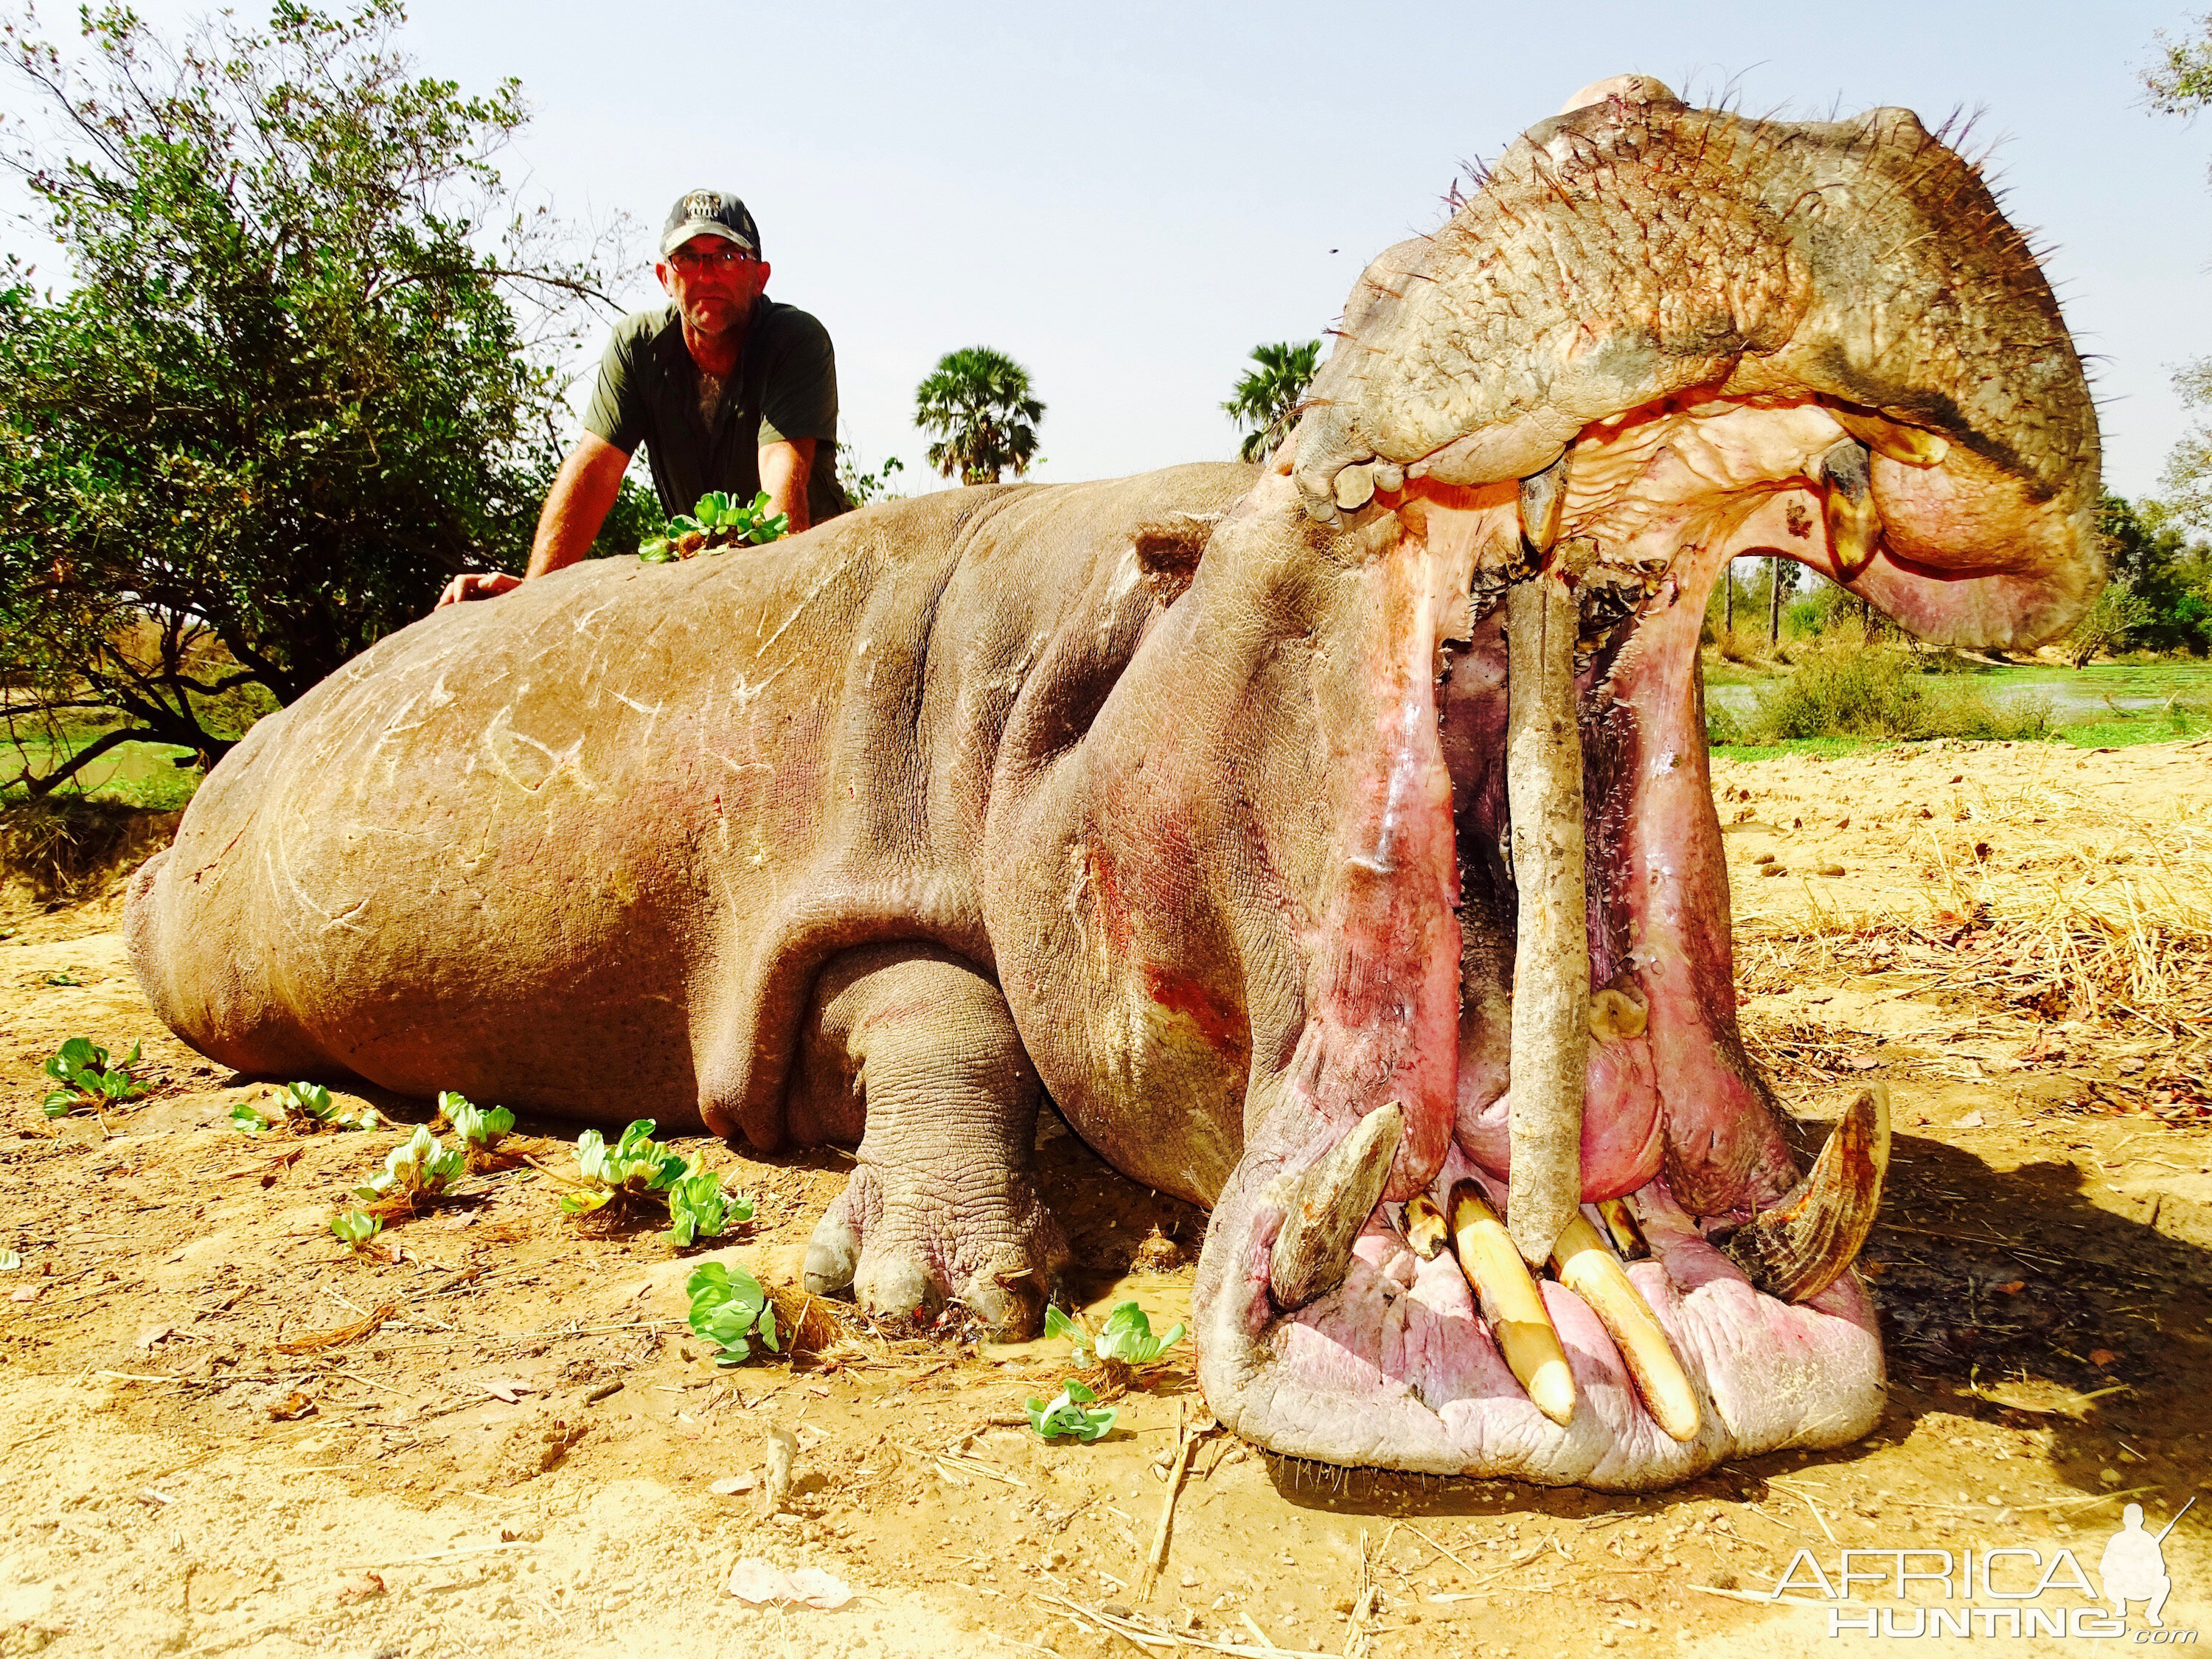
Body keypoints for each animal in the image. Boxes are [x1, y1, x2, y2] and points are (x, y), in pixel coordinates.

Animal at [129, 74, 2097, 1495]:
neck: (1110, 624)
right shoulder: (835, 890)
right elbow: (938, 1008)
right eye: (1274, 467)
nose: (1669, 112)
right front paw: (930, 1298)